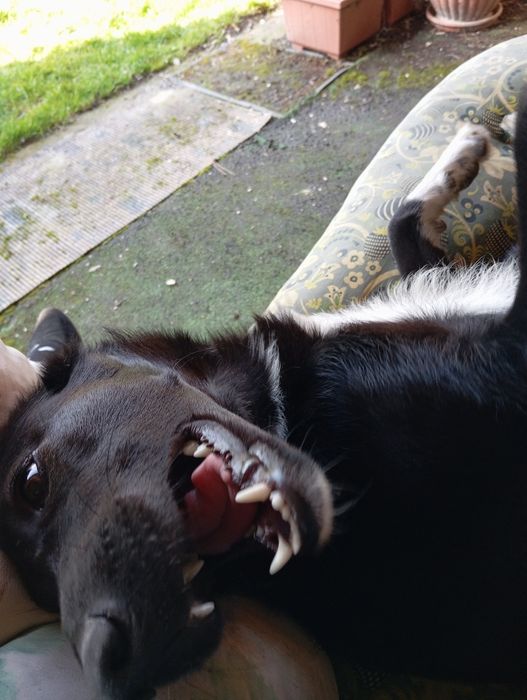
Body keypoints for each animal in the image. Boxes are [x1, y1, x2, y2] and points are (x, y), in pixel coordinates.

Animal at [0, 92, 526, 699]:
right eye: (42, 590)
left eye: (29, 483)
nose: (112, 667)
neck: (293, 409)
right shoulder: (503, 359)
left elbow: (401, 220)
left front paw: (468, 150)